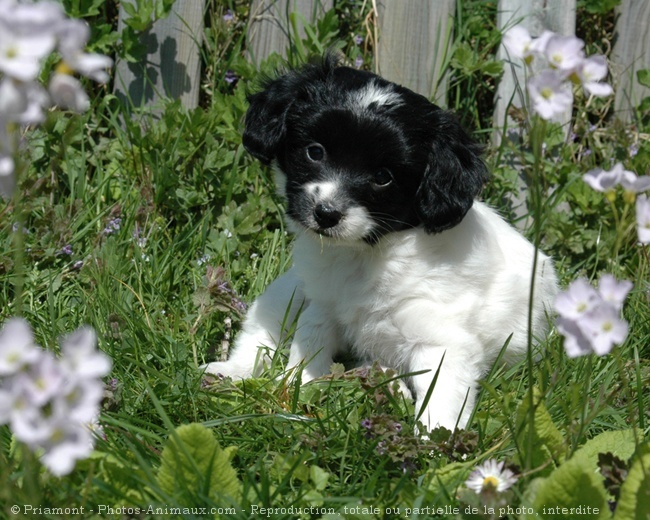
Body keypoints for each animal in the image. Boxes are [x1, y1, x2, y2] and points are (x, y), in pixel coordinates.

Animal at [204, 54, 556, 432]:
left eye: (383, 177)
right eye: (315, 152)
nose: (326, 213)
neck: (369, 254)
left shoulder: (443, 342)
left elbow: (441, 401)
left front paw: (435, 441)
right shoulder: (322, 307)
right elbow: (308, 348)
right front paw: (297, 389)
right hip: (288, 290)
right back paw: (228, 372)